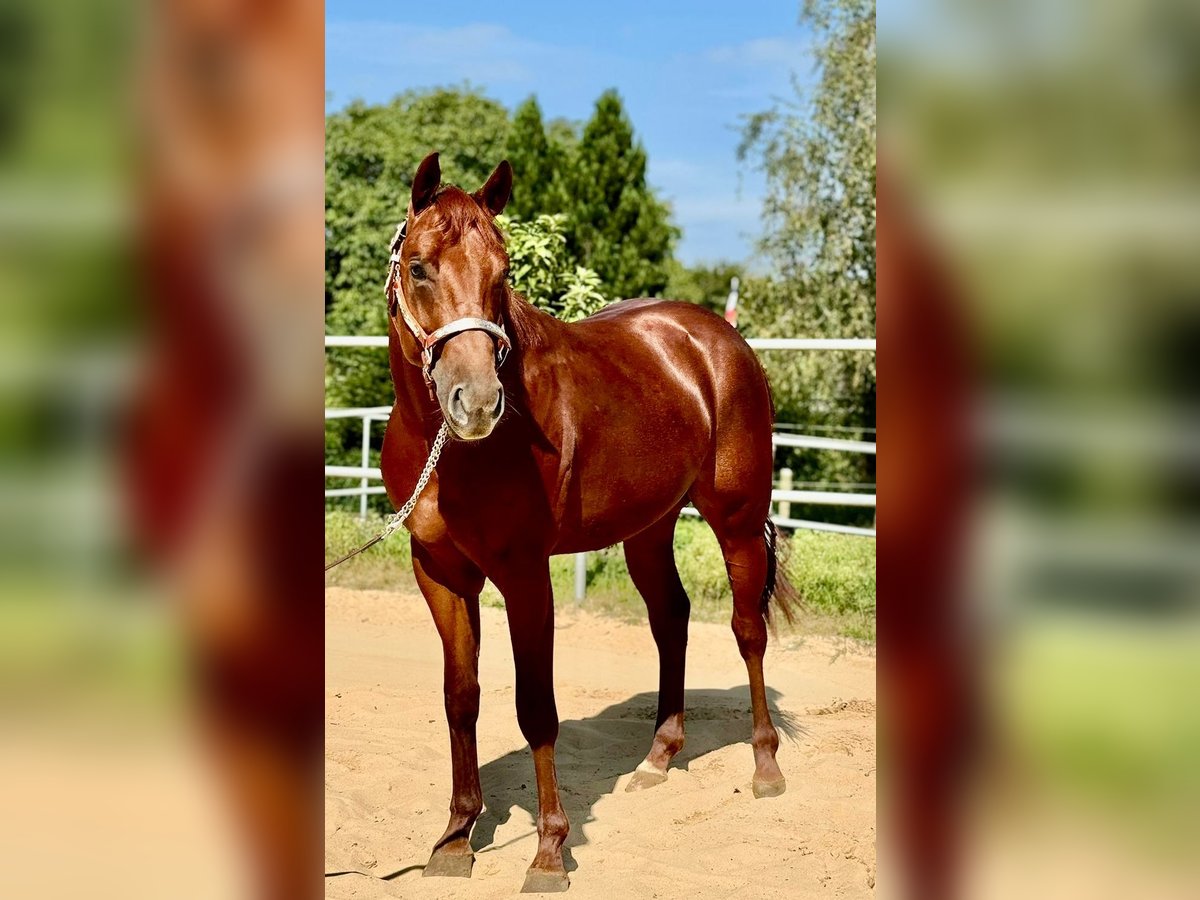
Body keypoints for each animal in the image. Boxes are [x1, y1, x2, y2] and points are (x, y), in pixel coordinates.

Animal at [384, 151, 796, 892]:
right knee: (671, 617)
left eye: (503, 272)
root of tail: (719, 339)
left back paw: (765, 766)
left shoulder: (523, 574)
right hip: (648, 529)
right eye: (421, 267)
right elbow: (461, 697)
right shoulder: (438, 572)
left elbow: (536, 708)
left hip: (739, 520)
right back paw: (658, 757)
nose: (477, 403)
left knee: (748, 631)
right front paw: (455, 840)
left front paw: (550, 851)